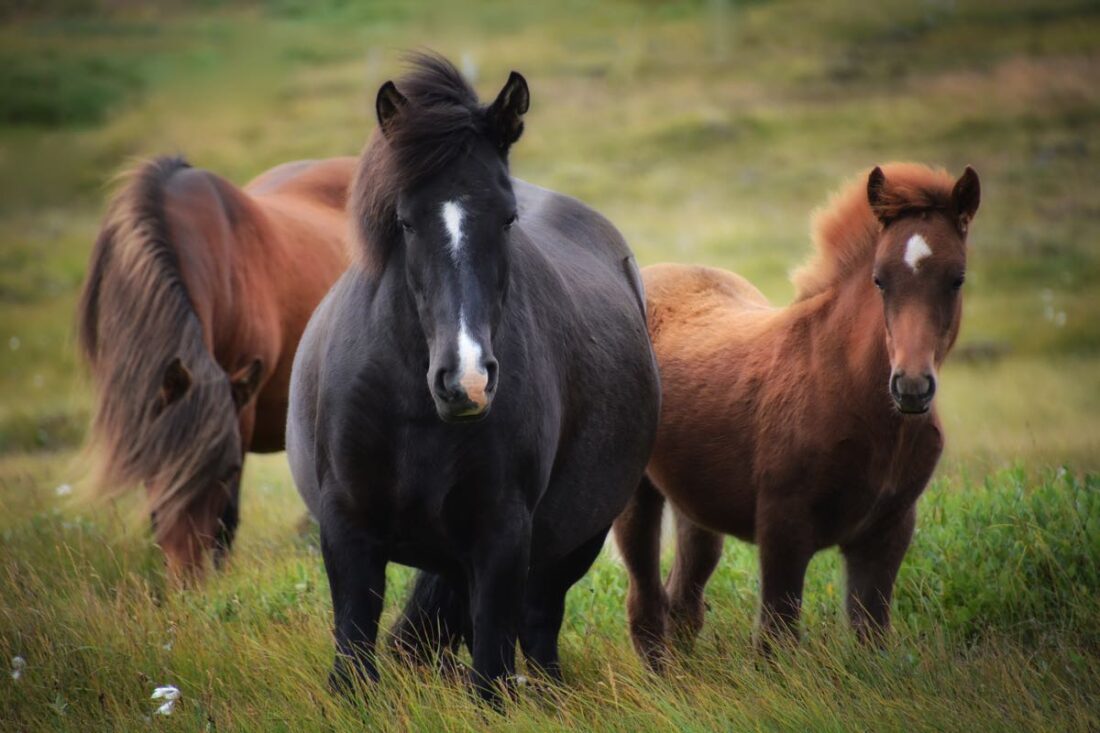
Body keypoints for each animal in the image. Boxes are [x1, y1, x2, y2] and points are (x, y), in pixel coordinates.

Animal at [286, 54, 660, 701]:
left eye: (507, 219)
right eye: (405, 222)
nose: (467, 381)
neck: (412, 408)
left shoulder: (502, 535)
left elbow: (490, 672)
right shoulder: (347, 528)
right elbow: (354, 657)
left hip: (575, 540)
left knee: (538, 626)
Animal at [614, 163, 981, 669]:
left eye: (957, 278)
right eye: (880, 279)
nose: (910, 387)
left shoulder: (888, 530)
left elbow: (870, 635)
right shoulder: (783, 526)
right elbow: (775, 638)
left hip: (695, 504)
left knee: (682, 600)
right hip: (635, 495)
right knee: (646, 604)